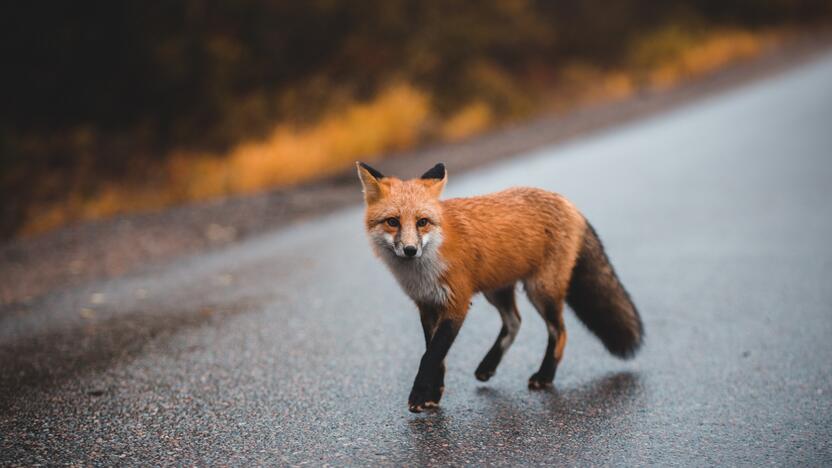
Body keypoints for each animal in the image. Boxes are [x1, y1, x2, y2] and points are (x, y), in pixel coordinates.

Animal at [356, 162, 644, 414]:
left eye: (422, 222)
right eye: (392, 222)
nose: (410, 250)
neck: (426, 266)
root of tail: (568, 203)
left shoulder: (457, 303)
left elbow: (431, 356)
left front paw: (418, 396)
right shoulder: (427, 305)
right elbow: (435, 355)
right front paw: (433, 394)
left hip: (541, 291)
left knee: (559, 331)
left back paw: (545, 375)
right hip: (497, 290)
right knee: (515, 322)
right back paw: (489, 365)